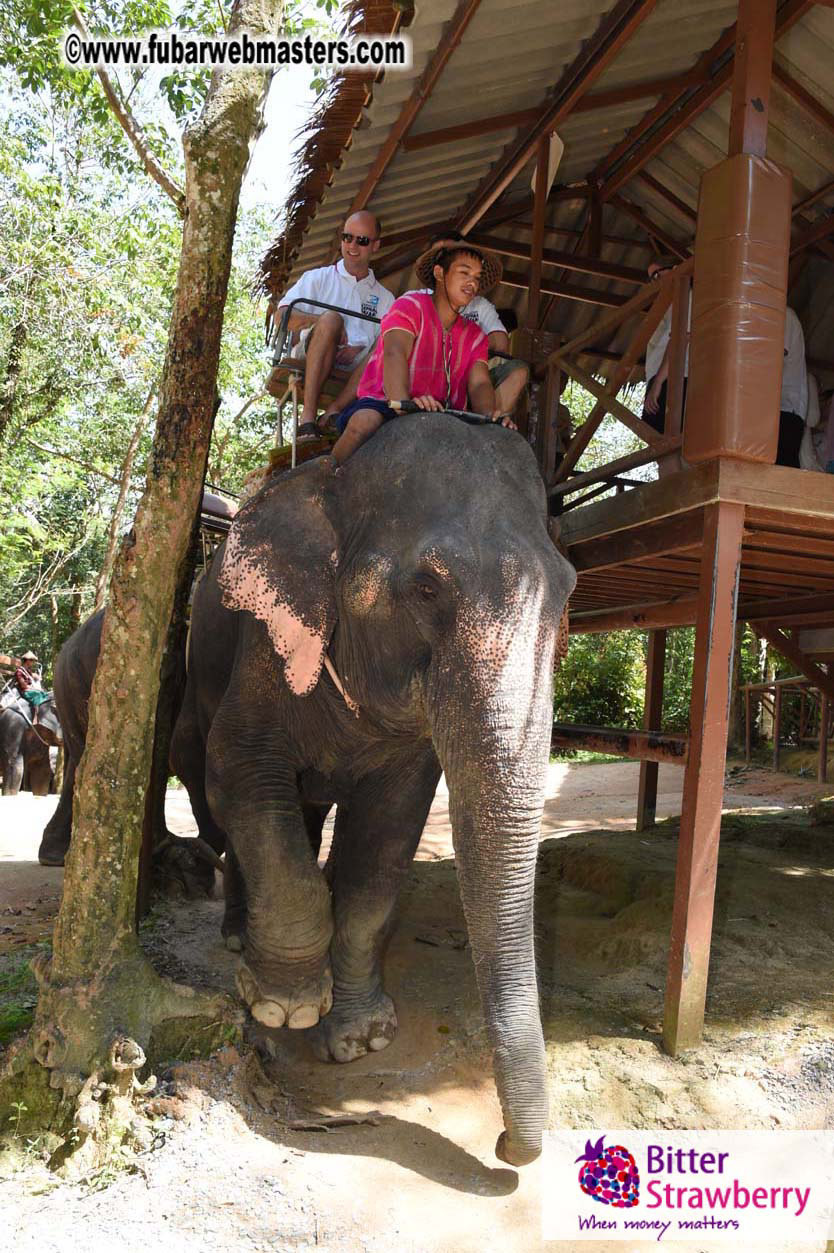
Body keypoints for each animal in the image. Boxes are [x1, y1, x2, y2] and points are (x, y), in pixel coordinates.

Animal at [170, 413, 575, 1166]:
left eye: (568, 593)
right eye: (426, 588)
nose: (508, 1147)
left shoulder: (404, 761)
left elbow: (384, 846)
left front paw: (359, 1039)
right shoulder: (266, 641)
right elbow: (236, 772)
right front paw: (286, 1006)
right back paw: (239, 942)